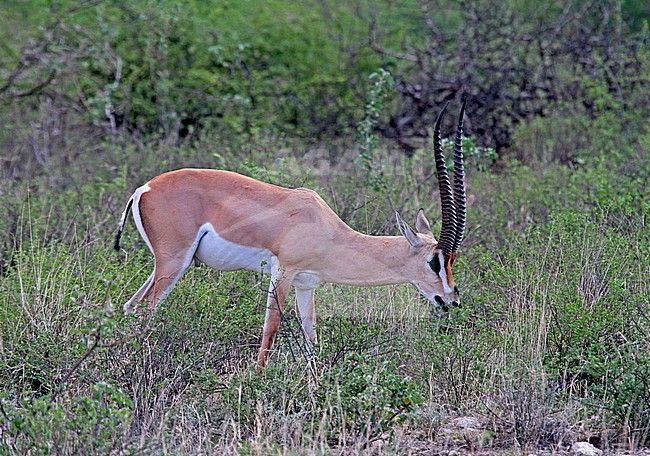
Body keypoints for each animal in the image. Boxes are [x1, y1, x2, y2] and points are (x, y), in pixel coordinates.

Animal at [114, 101, 467, 367]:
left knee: (130, 307)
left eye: (451, 260)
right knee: (146, 310)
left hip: (168, 265)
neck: (328, 232)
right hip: (173, 262)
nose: (451, 300)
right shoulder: (283, 273)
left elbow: (312, 338)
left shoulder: (306, 284)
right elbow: (270, 331)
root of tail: (145, 188)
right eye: (435, 262)